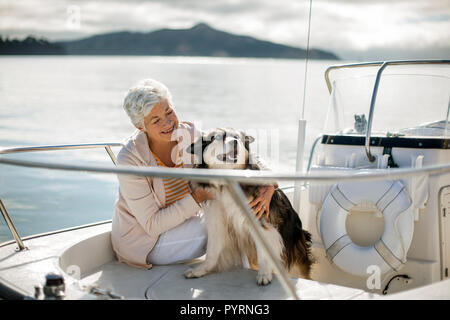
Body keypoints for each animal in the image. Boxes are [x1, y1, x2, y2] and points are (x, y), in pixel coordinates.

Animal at [183, 127, 312, 284]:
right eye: (218, 137)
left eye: (237, 137)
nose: (235, 142)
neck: (227, 182)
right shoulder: (216, 222)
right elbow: (212, 251)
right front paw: (201, 270)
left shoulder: (261, 221)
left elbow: (264, 251)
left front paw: (264, 274)